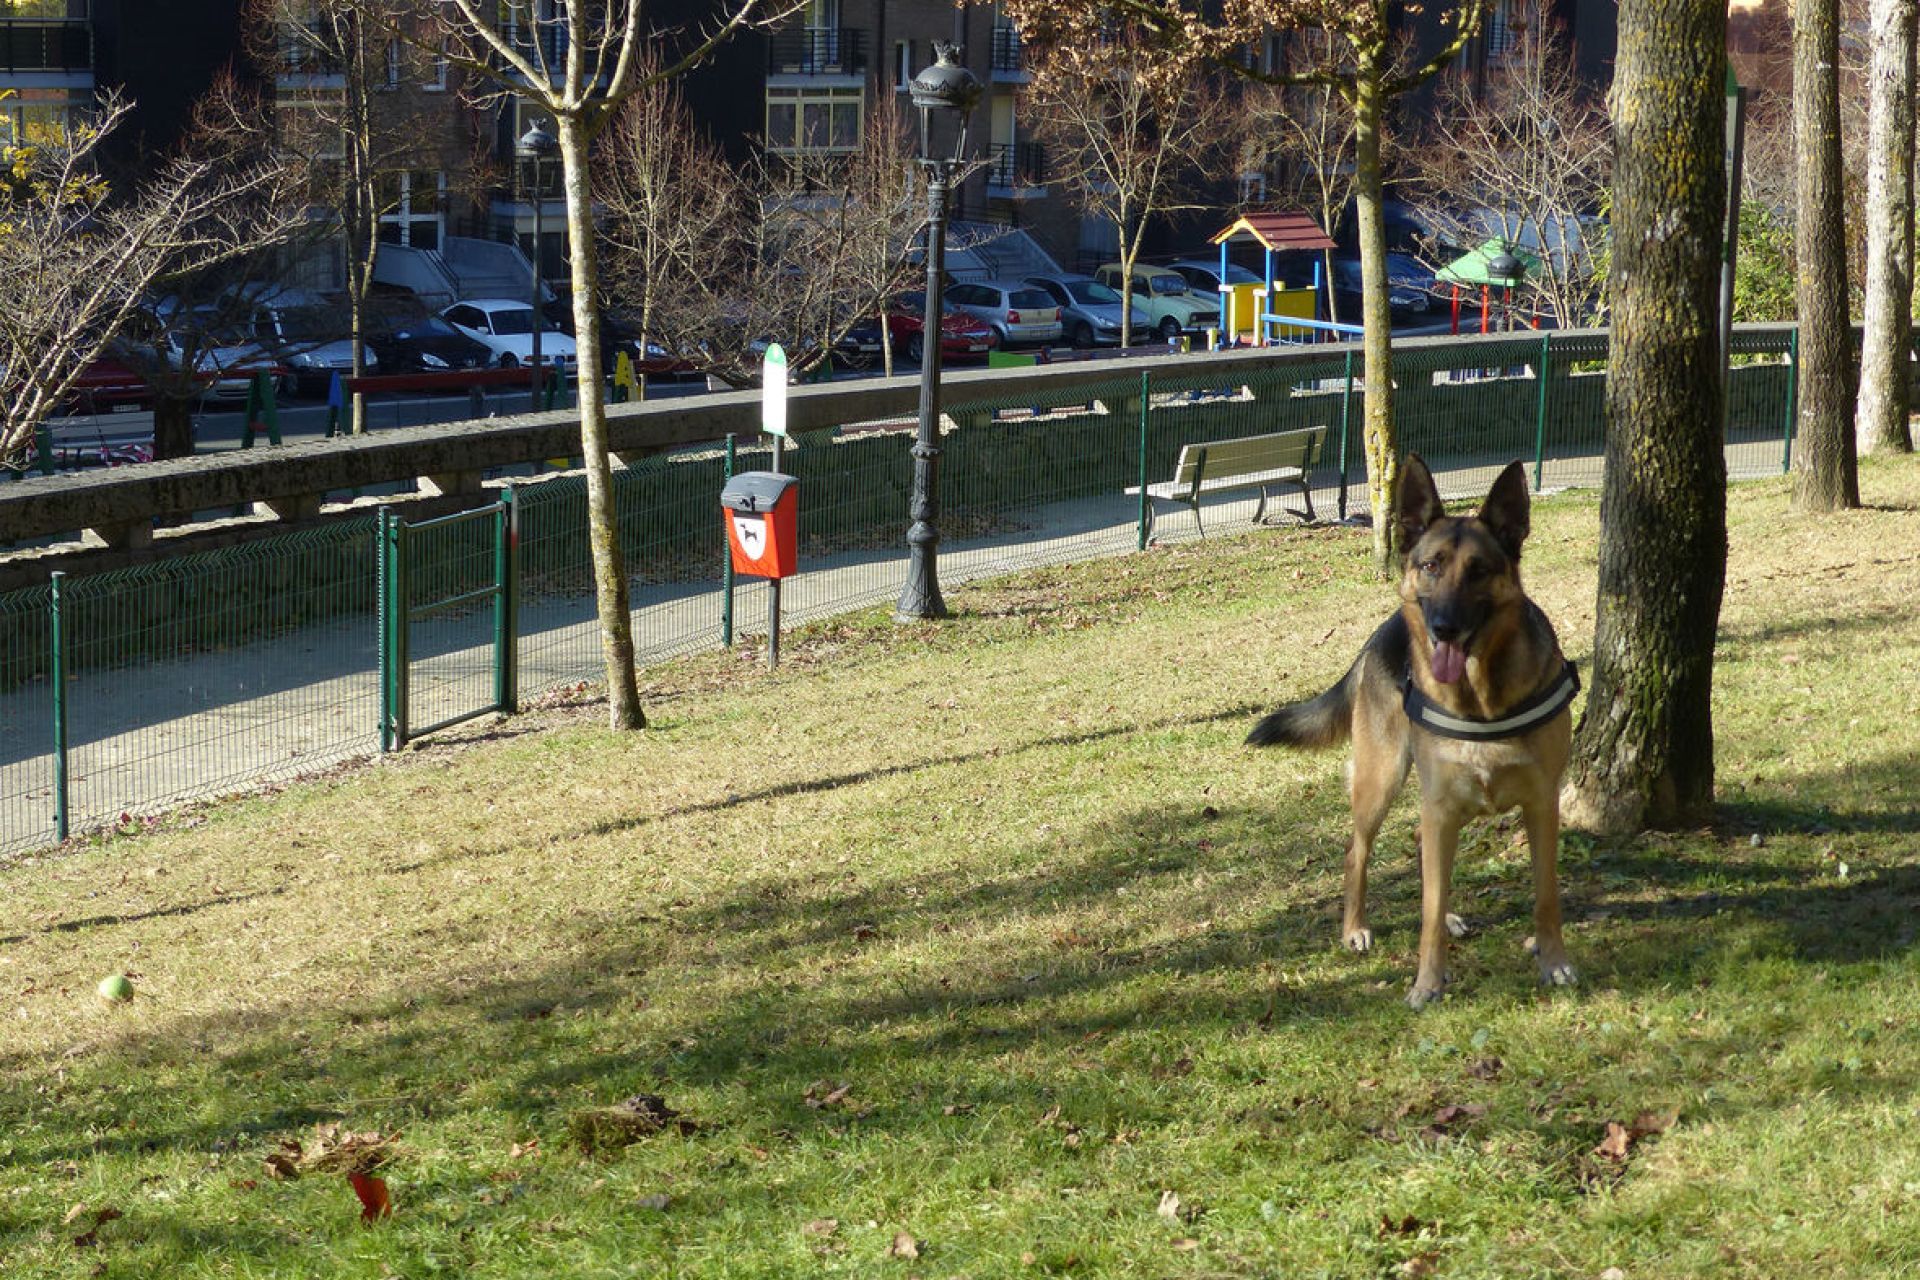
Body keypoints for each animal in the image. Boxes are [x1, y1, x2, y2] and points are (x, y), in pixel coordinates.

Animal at [1251, 454, 1582, 1005]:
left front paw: (1553, 961)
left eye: (1479, 570)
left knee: (1423, 856)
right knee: (1357, 852)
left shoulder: (1541, 804)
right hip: (1381, 780)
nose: (1444, 626)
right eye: (1431, 566)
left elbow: (1546, 895)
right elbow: (1425, 910)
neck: (1481, 698)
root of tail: (1379, 633)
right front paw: (1427, 983)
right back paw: (1355, 929)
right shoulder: (1442, 804)